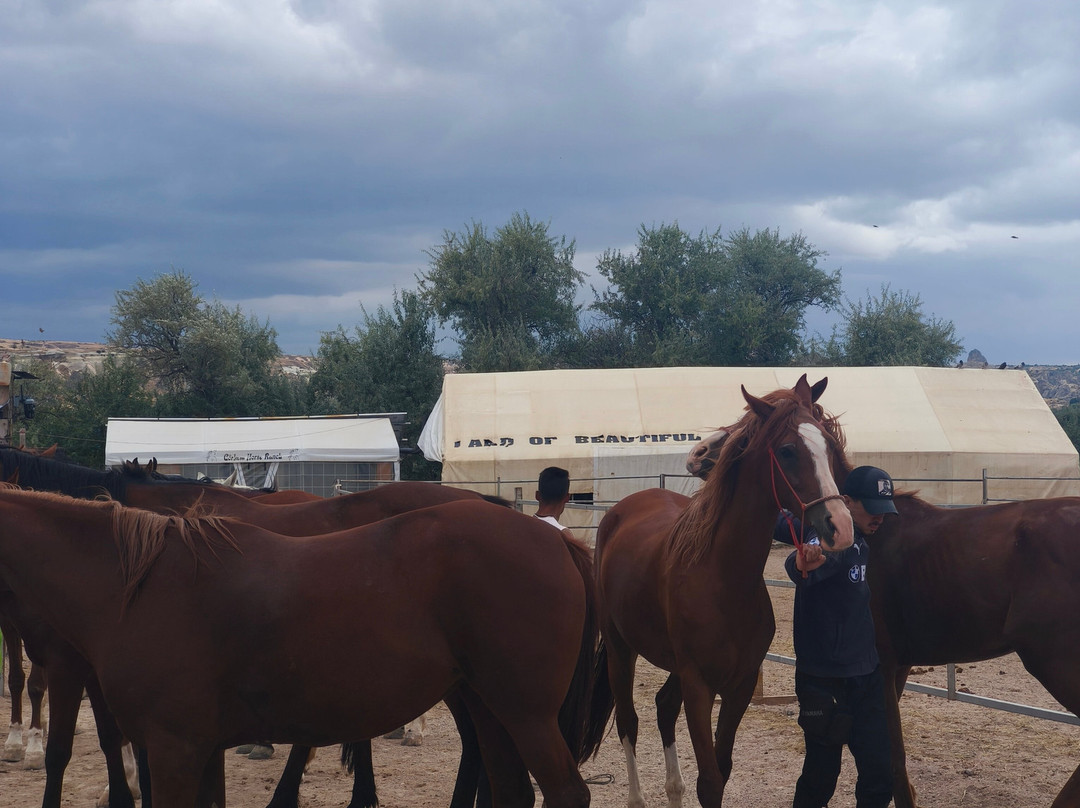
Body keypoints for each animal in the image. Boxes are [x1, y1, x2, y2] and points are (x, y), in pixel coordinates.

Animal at [0, 489, 610, 808]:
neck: (136, 587)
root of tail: (554, 538)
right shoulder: (199, 749)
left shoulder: (174, 748)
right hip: (488, 709)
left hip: (526, 715)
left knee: (566, 793)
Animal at [596, 374, 854, 808]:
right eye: (787, 450)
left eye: (828, 445)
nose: (840, 525)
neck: (722, 578)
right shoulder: (699, 685)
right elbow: (710, 781)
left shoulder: (739, 685)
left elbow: (722, 768)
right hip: (620, 648)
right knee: (628, 721)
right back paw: (637, 797)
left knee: (663, 708)